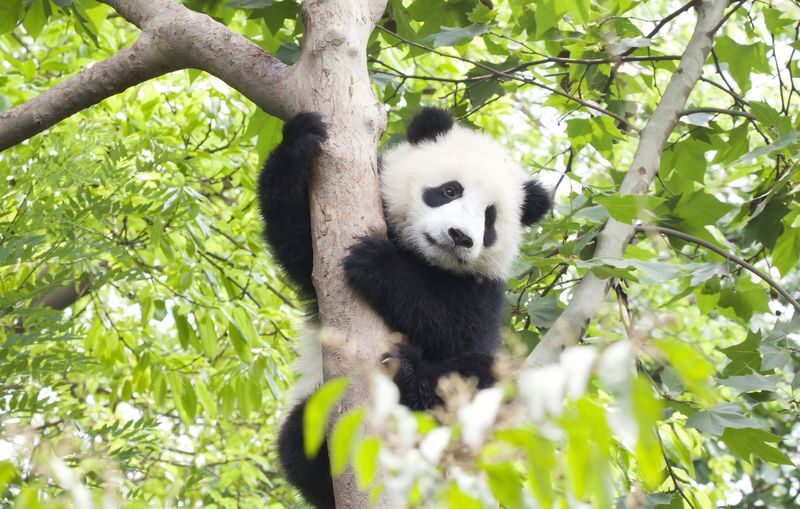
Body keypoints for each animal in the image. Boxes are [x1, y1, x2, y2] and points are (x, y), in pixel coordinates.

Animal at [258, 108, 551, 508]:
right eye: (449, 190)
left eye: (489, 218)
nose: (461, 236)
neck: (422, 257)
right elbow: (300, 244)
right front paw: (300, 139)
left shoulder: (481, 289)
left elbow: (454, 333)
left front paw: (377, 263)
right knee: (300, 438)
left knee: (482, 374)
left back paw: (407, 376)